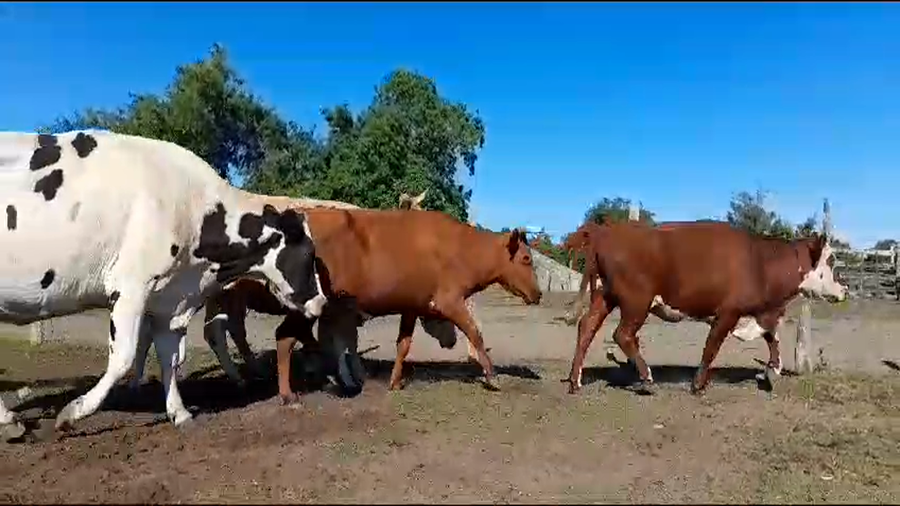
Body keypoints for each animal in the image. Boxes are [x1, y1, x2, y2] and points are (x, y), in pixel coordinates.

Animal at [0, 130, 326, 440]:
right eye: (309, 254)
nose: (321, 301)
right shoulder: (131, 287)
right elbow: (123, 358)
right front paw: (72, 413)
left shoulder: (170, 300)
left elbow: (171, 357)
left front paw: (179, 413)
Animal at [563, 220, 846, 395]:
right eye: (831, 260)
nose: (845, 290)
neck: (761, 262)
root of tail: (606, 233)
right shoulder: (728, 312)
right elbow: (711, 347)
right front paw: (698, 384)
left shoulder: (760, 312)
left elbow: (772, 337)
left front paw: (772, 370)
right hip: (636, 302)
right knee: (622, 334)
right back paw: (646, 378)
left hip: (604, 296)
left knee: (586, 327)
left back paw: (575, 381)